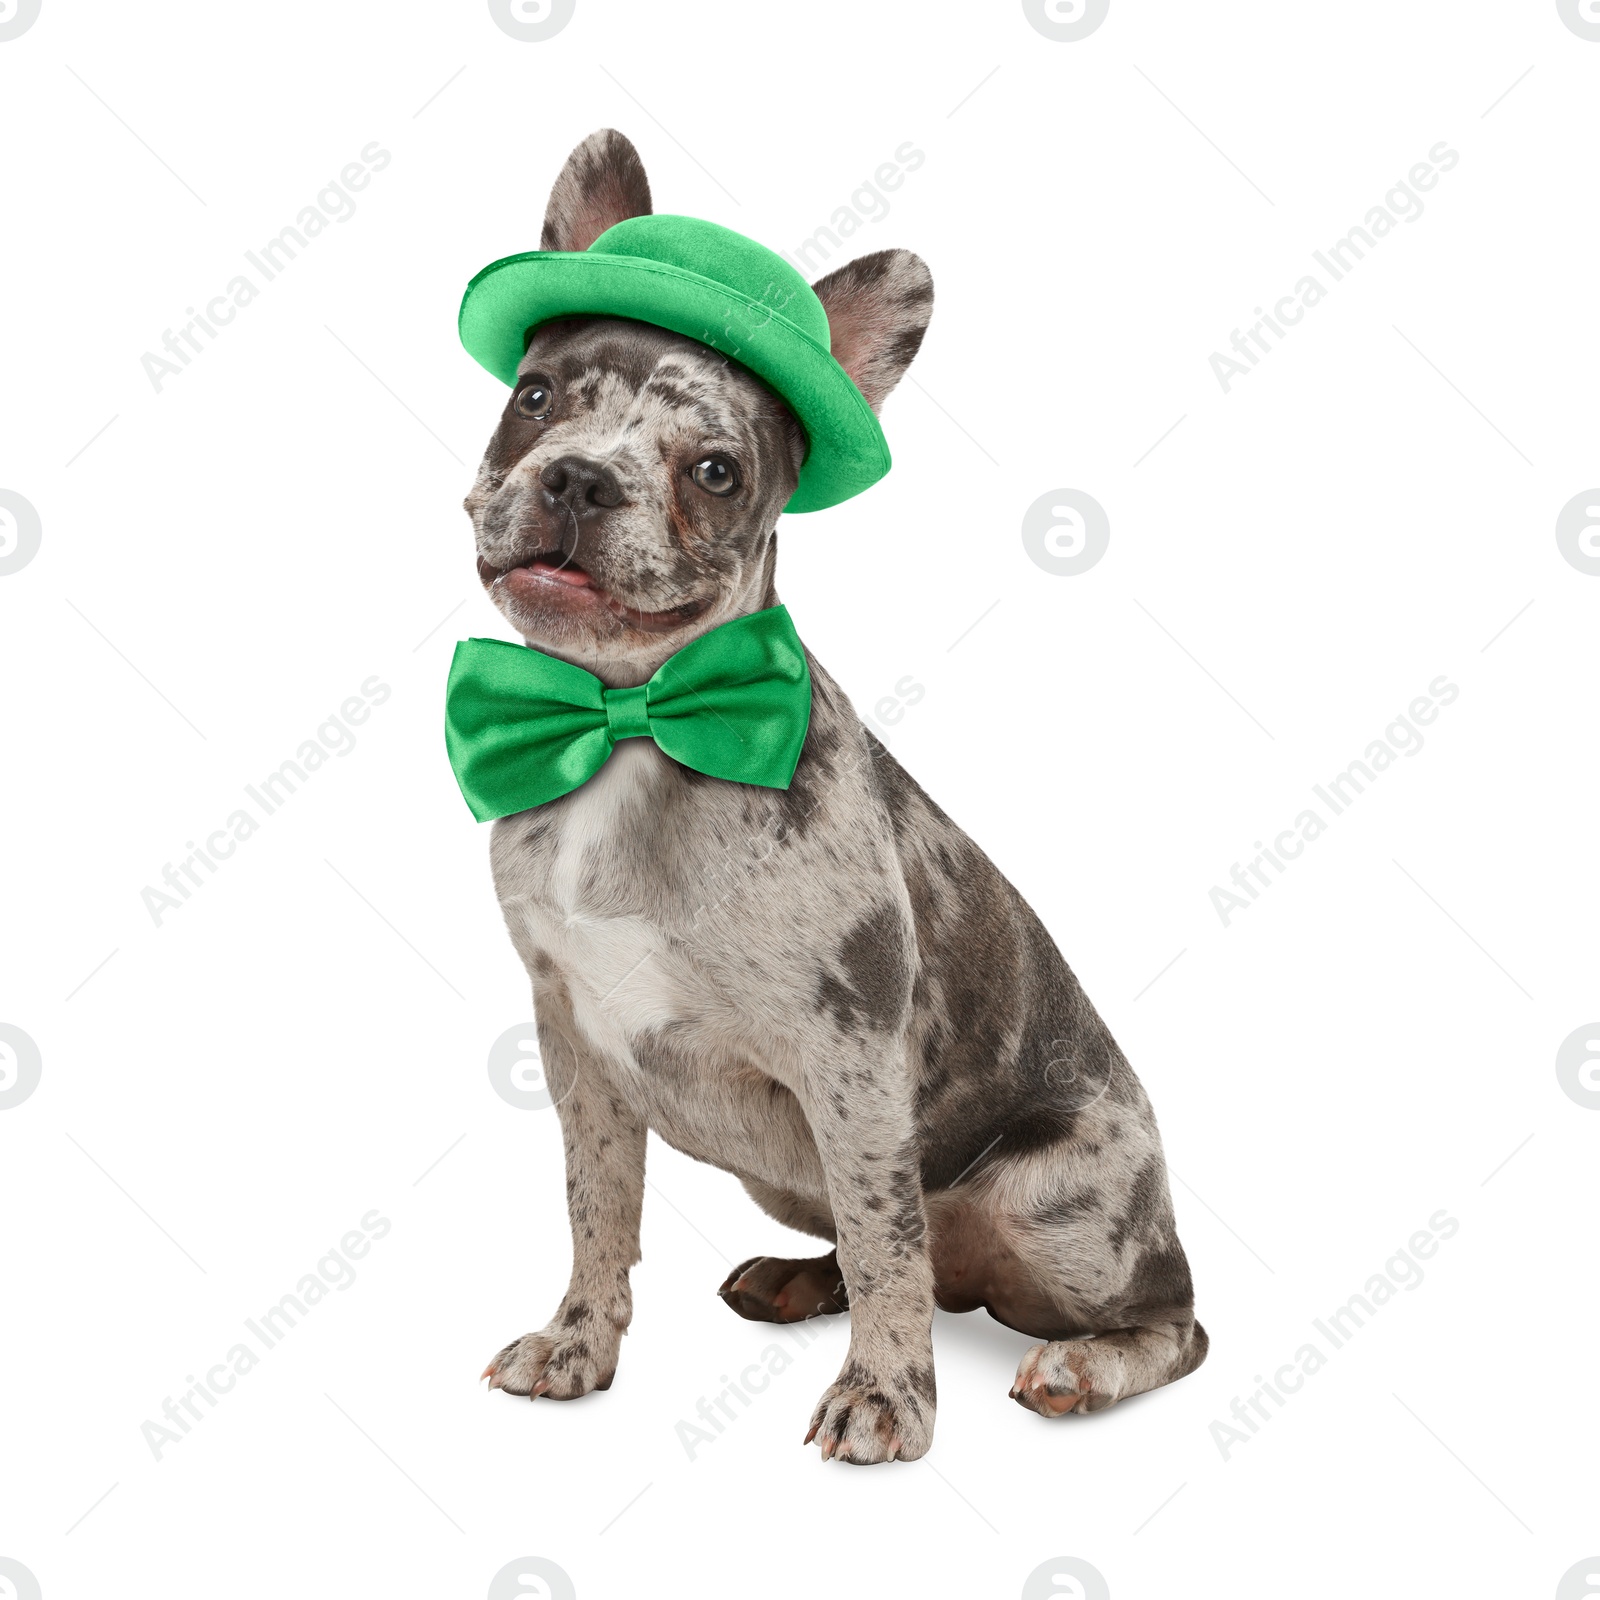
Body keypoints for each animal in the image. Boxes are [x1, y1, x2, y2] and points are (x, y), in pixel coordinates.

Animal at [460, 128, 1203, 1465]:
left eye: (715, 471)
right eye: (535, 398)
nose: (580, 479)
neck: (632, 716)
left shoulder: (850, 1059)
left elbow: (884, 1232)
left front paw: (886, 1396)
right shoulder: (575, 1045)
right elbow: (598, 1204)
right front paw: (579, 1340)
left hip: (1063, 1206)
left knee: (1151, 1313)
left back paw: (1081, 1363)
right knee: (879, 1250)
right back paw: (797, 1279)